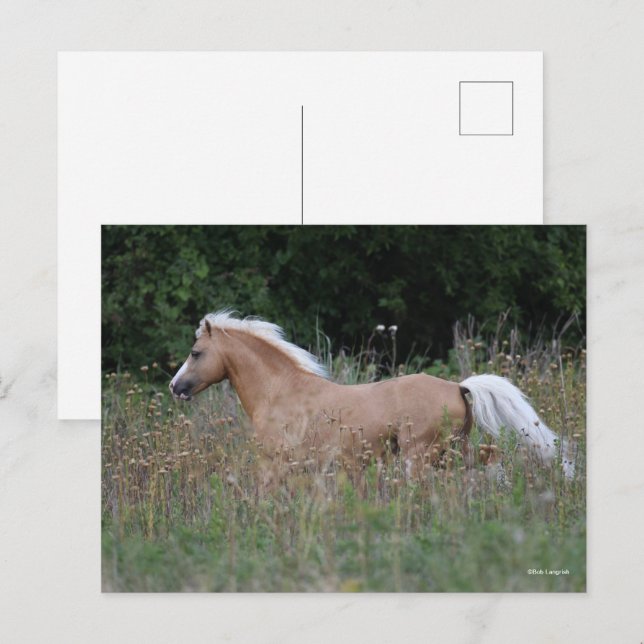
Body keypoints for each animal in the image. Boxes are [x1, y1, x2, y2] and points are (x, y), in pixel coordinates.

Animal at [169, 310, 574, 479]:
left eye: (196, 353)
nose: (176, 387)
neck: (281, 392)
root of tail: (458, 386)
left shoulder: (277, 461)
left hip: (420, 454)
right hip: (454, 449)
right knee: (490, 459)